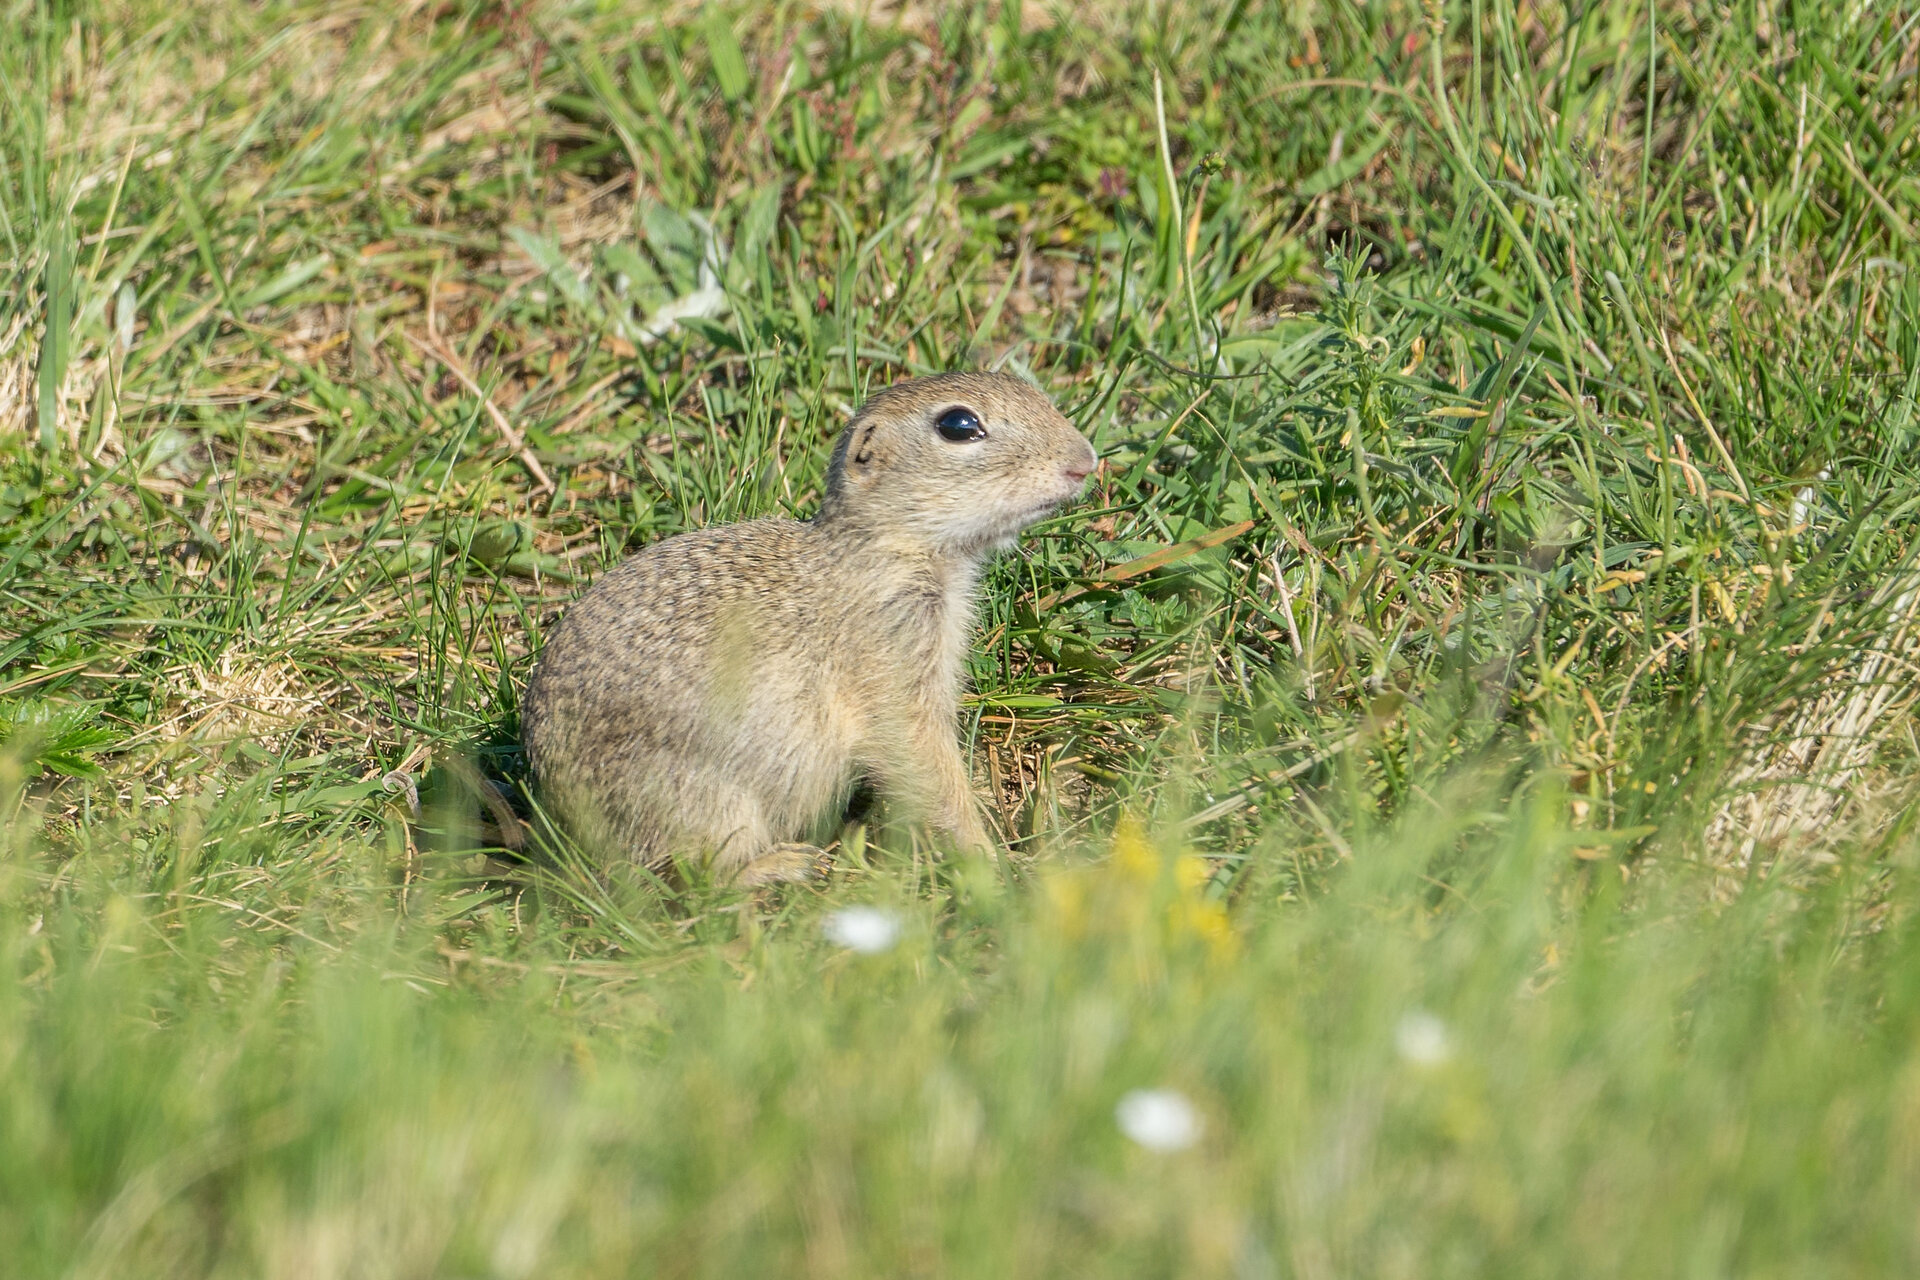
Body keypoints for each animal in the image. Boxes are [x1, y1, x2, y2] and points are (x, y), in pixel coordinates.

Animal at [522, 370, 1098, 886]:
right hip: (706, 805)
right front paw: (989, 859)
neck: (885, 549)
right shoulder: (889, 656)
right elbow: (922, 761)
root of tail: (560, 818)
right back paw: (783, 865)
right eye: (958, 425)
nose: (1087, 461)